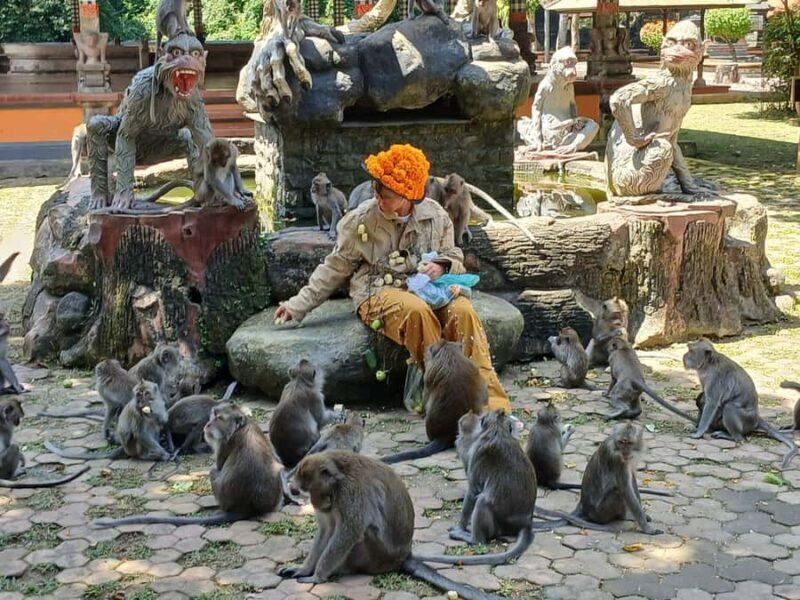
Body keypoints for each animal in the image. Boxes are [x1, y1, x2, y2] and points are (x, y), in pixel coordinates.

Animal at [94, 403, 284, 528]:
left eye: (219, 418)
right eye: (214, 415)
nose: (208, 424)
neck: (240, 428)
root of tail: (247, 508)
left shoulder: (223, 444)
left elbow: (219, 467)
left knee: (213, 471)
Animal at [280, 451, 503, 600]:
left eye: (313, 491)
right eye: (307, 492)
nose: (316, 503)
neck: (338, 477)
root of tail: (403, 556)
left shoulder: (349, 493)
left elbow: (348, 532)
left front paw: (317, 576)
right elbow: (326, 531)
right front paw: (304, 569)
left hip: (375, 555)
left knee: (362, 532)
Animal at [534, 422, 667, 534]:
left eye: (629, 443)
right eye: (621, 442)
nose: (625, 452)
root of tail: (583, 505)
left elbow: (632, 480)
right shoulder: (617, 460)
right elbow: (626, 489)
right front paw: (646, 528)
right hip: (600, 513)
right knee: (618, 491)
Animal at [684, 339, 797, 468]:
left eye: (691, 351)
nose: (684, 356)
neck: (708, 364)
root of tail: (757, 418)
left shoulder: (715, 379)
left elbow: (711, 403)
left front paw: (699, 432)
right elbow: (704, 400)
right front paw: (697, 426)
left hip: (747, 420)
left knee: (729, 408)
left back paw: (732, 436)